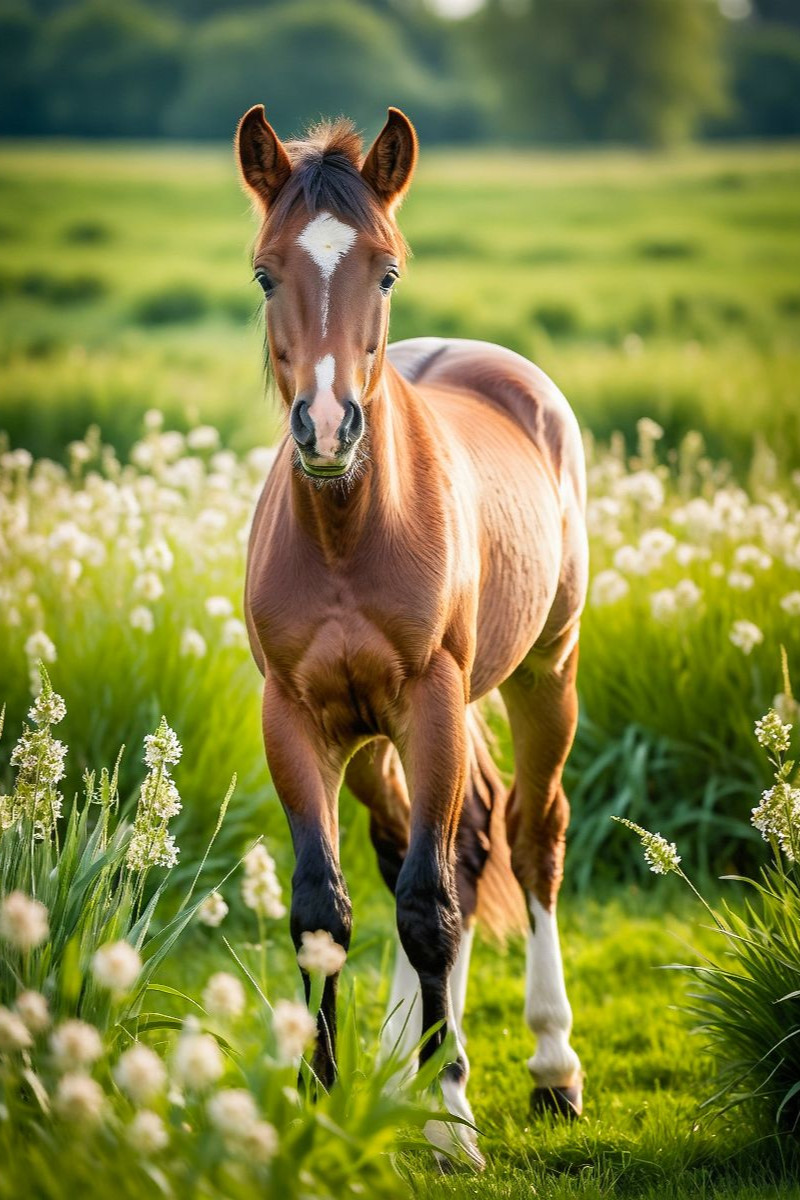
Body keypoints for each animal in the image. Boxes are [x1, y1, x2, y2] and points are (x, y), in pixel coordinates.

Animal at [236, 105, 588, 1168]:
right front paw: (321, 1104)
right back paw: (408, 1071)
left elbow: (431, 913)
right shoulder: (299, 719)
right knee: (433, 848)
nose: (326, 428)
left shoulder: (433, 704)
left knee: (528, 836)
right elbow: (327, 909)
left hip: (542, 674)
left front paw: (453, 1127)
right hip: (378, 738)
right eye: (265, 273)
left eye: (385, 270)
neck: (351, 534)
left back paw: (548, 1069)